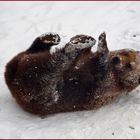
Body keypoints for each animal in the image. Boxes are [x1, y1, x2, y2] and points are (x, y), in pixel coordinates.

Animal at [4, 32, 140, 115]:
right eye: (126, 52)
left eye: (130, 65)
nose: (117, 59)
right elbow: (89, 56)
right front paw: (88, 39)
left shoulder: (107, 88)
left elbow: (102, 77)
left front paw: (102, 45)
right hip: (22, 60)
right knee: (32, 51)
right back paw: (53, 38)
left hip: (40, 91)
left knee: (54, 65)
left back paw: (74, 46)